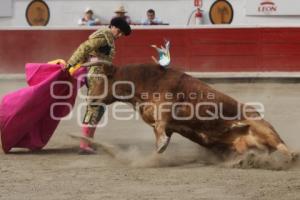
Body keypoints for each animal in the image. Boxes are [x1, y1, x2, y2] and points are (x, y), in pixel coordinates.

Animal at [82, 61, 296, 161]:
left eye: (102, 79)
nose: (90, 99)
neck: (147, 82)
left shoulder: (165, 111)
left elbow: (161, 126)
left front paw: (161, 147)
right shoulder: (161, 123)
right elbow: (160, 131)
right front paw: (160, 148)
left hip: (262, 126)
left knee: (282, 146)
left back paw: (291, 157)